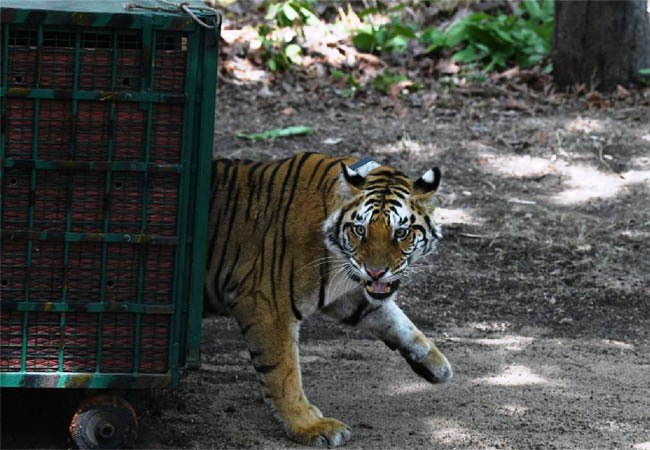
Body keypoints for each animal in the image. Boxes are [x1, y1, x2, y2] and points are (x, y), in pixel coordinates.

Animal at [205, 154, 454, 446]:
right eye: (360, 230)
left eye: (401, 233)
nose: (375, 272)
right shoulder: (266, 304)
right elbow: (283, 372)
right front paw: (309, 426)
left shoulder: (346, 296)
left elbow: (396, 320)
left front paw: (434, 363)